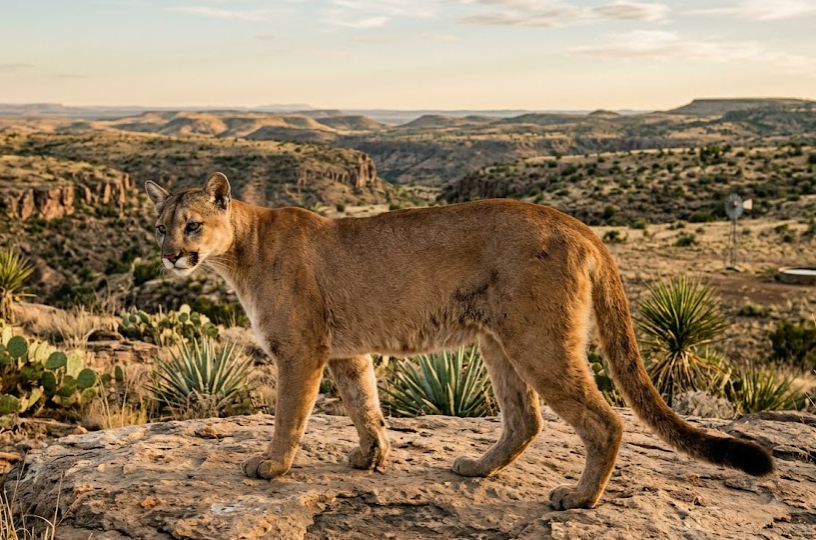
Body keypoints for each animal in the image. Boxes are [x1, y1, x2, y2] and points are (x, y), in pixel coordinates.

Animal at [145, 172, 773, 510]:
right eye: (158, 226)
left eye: (193, 225)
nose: (170, 255)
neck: (241, 249)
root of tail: (578, 224)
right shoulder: (347, 350)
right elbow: (365, 406)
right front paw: (370, 457)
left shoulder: (300, 351)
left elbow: (288, 416)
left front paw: (271, 466)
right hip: (500, 341)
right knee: (526, 418)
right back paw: (477, 469)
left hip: (537, 340)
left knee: (605, 420)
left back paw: (579, 499)